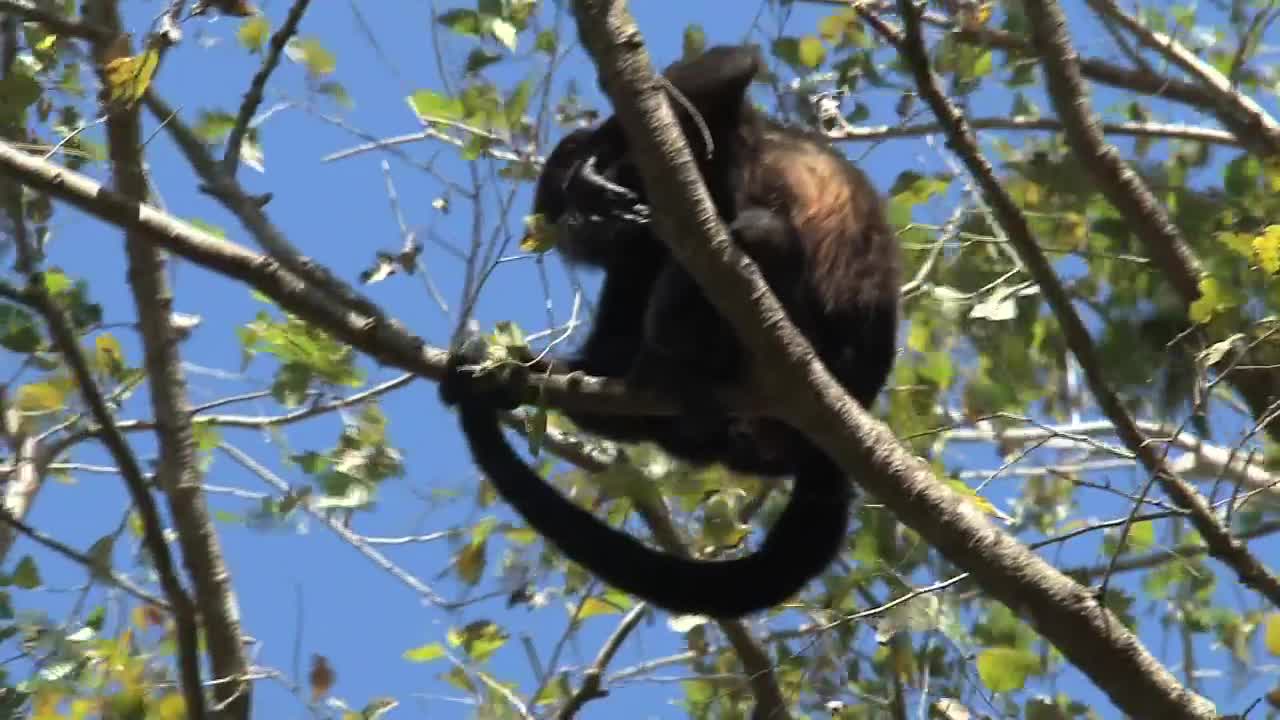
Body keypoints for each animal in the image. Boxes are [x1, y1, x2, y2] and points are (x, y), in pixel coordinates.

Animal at [439, 44, 901, 618]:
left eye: (568, 208)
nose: (579, 225)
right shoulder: (635, 237)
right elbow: (608, 346)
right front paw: (515, 370)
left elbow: (729, 67)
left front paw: (593, 166)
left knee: (759, 233)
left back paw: (671, 360)